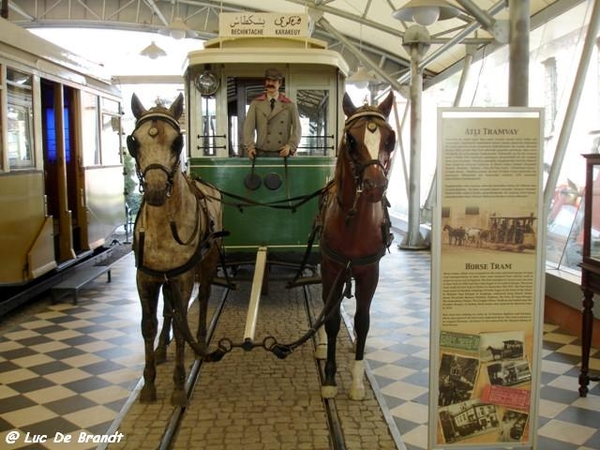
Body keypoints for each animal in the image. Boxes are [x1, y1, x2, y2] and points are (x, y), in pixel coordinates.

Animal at [127, 93, 223, 406]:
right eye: (134, 141)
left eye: (176, 141)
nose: (156, 190)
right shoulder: (146, 279)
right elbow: (148, 325)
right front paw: (149, 383)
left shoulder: (183, 278)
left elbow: (183, 328)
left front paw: (179, 386)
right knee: (168, 310)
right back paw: (160, 349)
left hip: (208, 260)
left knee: (203, 297)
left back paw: (201, 339)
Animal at [316, 89, 396, 400]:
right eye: (351, 140)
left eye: (390, 138)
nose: (375, 185)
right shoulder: (331, 268)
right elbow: (331, 319)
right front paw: (329, 377)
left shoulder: (369, 272)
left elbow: (363, 322)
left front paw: (357, 382)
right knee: (326, 305)